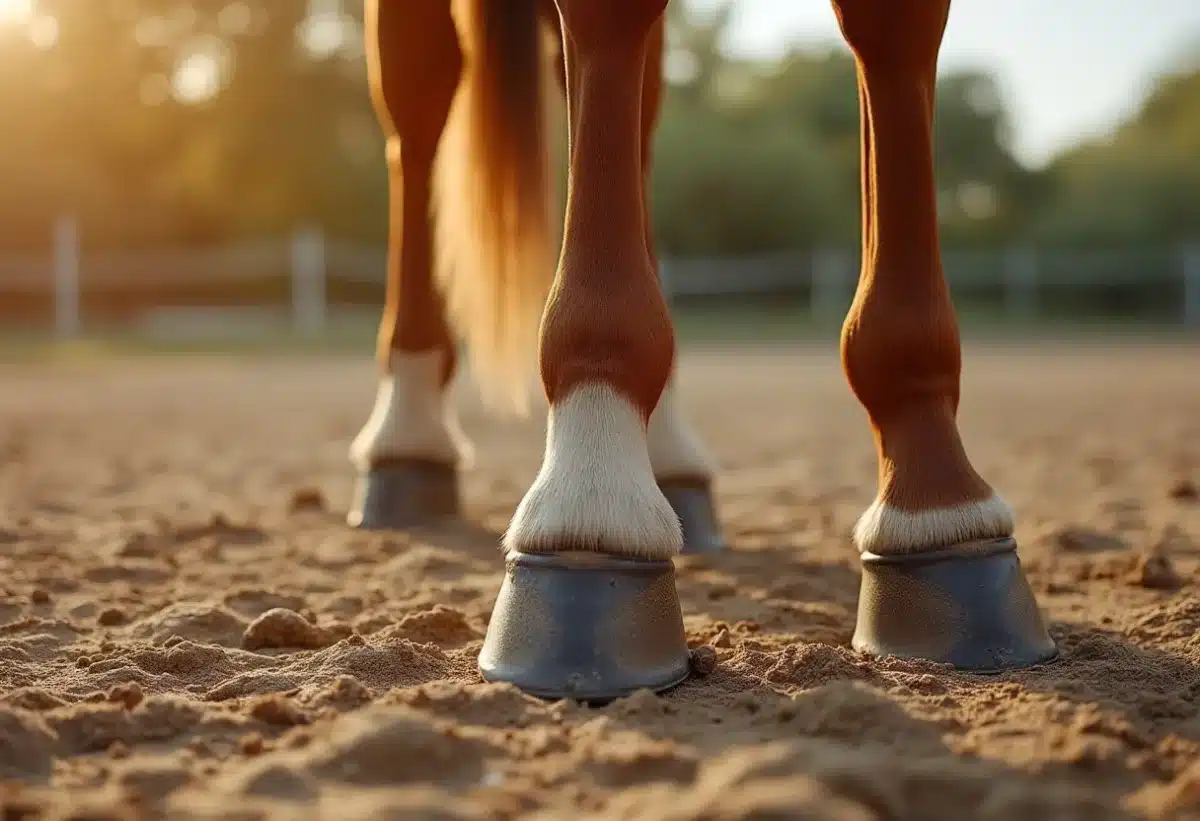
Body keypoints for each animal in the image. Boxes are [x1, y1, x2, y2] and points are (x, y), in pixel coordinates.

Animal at [345, 1, 1051, 705]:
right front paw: (590, 500)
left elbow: (895, 32)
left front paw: (938, 499)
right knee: (419, 105)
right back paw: (408, 436)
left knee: (635, 111)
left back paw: (667, 453)